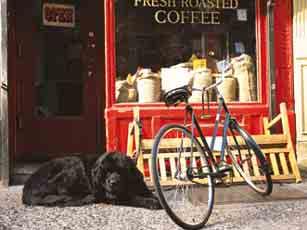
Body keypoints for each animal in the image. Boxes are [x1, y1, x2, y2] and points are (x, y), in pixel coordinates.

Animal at [22, 152, 161, 209]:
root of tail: (27, 188)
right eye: (107, 172)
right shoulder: (113, 196)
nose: (113, 183)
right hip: (73, 166)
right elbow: (132, 198)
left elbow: (150, 193)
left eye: (121, 171)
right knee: (63, 195)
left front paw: (156, 199)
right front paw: (151, 202)